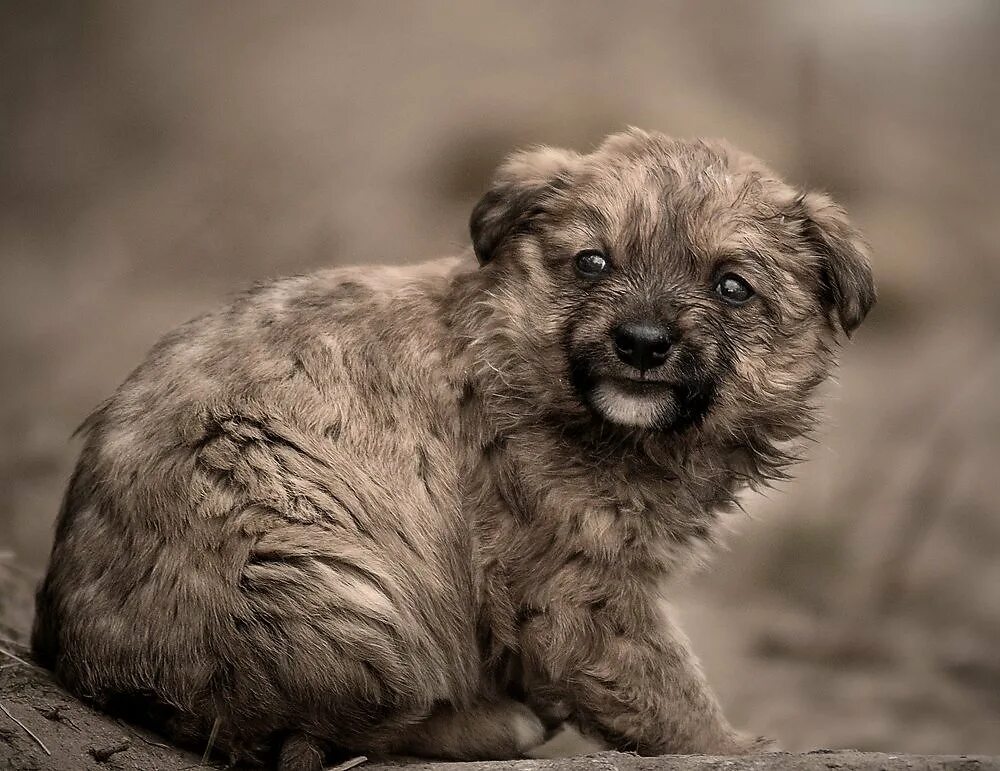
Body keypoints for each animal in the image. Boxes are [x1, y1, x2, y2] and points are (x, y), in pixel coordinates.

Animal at [31, 130, 876, 768]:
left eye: (732, 286)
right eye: (592, 262)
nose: (641, 343)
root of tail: (81, 658)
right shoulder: (577, 587)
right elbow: (664, 686)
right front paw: (738, 744)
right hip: (338, 586)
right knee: (331, 731)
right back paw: (493, 721)